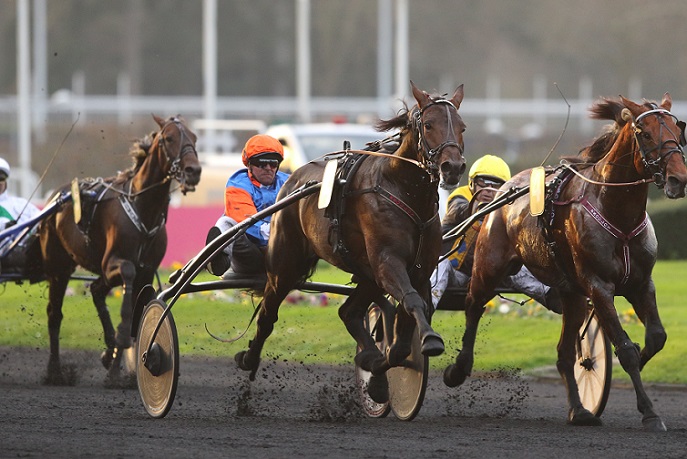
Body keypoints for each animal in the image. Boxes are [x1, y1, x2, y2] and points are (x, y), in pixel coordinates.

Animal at [40, 114, 200, 384]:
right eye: (169, 138)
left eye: (194, 137)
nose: (193, 171)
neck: (143, 207)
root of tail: (55, 197)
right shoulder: (115, 264)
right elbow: (126, 300)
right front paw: (116, 368)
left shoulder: (147, 270)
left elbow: (136, 311)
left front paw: (117, 360)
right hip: (58, 269)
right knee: (55, 314)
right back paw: (54, 371)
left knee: (96, 290)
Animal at [235, 82, 468, 402]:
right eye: (429, 124)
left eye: (462, 127)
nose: (452, 167)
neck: (405, 191)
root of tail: (292, 178)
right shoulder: (388, 262)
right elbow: (410, 301)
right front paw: (430, 339)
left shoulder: (420, 269)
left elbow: (402, 341)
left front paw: (376, 368)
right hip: (285, 265)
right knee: (268, 314)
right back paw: (248, 358)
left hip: (367, 273)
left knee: (349, 312)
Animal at [444, 92, 687, 432]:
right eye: (646, 133)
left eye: (679, 132)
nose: (679, 178)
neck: (617, 212)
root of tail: (503, 191)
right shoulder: (599, 285)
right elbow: (625, 349)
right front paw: (650, 411)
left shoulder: (641, 284)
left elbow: (656, 338)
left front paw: (634, 361)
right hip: (489, 266)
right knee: (473, 305)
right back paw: (458, 368)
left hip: (571, 294)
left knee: (563, 354)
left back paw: (579, 410)